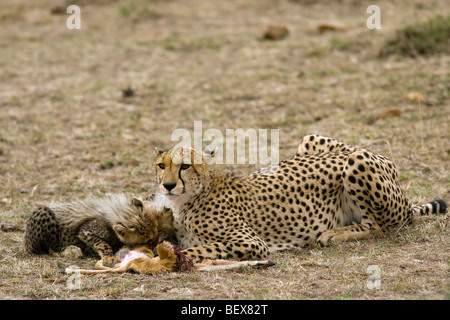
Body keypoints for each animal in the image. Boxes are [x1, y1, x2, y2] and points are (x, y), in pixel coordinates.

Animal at [154, 135, 446, 262]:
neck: (189, 200)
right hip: (312, 139)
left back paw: (333, 234)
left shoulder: (253, 243)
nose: (167, 185)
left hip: (357, 161)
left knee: (379, 226)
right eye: (161, 165)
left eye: (185, 166)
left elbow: (199, 249)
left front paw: (162, 259)